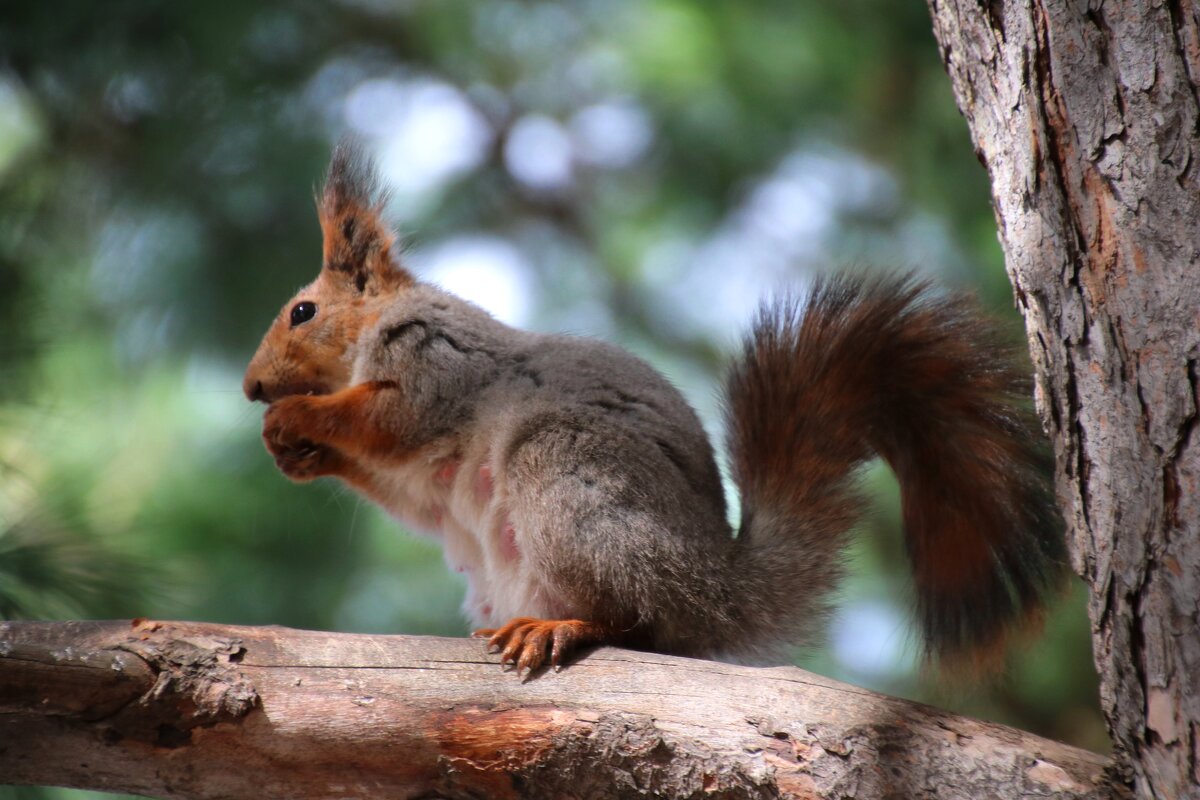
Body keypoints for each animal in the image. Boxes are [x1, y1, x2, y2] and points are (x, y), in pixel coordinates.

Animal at [243, 142, 1070, 676]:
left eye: (301, 312)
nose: (252, 388)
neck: (376, 327)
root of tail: (716, 590)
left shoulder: (435, 364)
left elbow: (386, 419)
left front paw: (296, 422)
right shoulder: (415, 473)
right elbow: (398, 485)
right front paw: (293, 452)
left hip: (567, 479)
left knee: (639, 622)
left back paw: (562, 626)